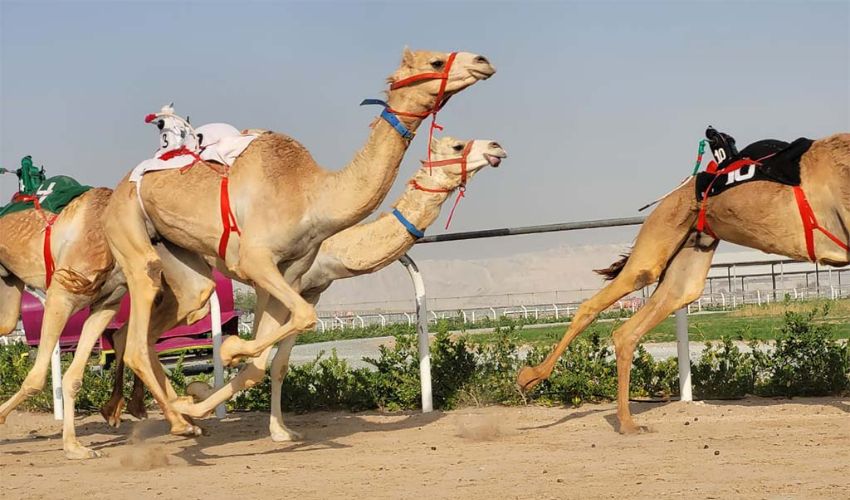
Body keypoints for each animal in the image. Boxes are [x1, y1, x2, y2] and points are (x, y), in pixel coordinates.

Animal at [102, 48, 494, 428]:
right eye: (436, 61)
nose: (483, 61)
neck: (313, 197)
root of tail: (117, 187)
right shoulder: (259, 265)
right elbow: (276, 343)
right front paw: (223, 366)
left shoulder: (297, 280)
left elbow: (271, 361)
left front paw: (274, 427)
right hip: (128, 234)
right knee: (135, 331)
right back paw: (172, 419)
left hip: (179, 264)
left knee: (160, 319)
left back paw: (145, 410)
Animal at [512, 133, 848, 434]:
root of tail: (674, 192)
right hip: (656, 243)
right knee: (594, 304)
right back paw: (530, 377)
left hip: (690, 259)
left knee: (629, 330)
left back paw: (628, 423)